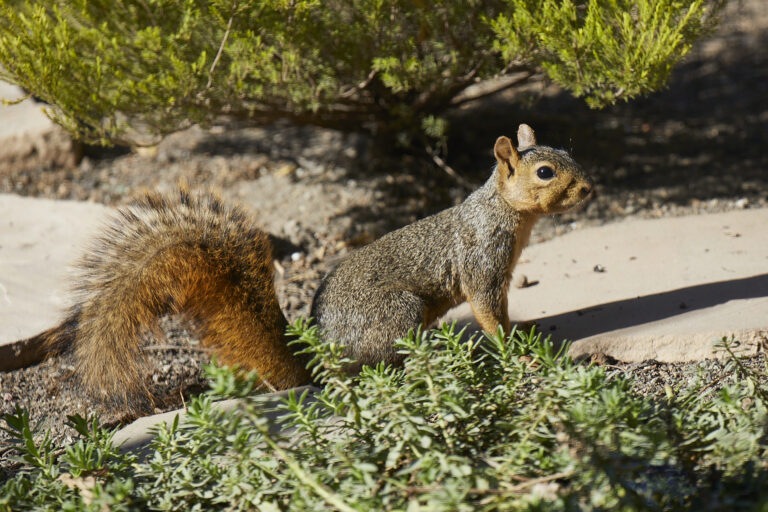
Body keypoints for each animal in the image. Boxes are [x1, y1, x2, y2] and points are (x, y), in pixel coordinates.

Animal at [28, 123, 592, 412]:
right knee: (376, 366)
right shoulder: (480, 263)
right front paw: (513, 347)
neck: (505, 213)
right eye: (546, 172)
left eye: (568, 152)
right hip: (399, 313)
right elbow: (488, 309)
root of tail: (320, 355)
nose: (589, 189)